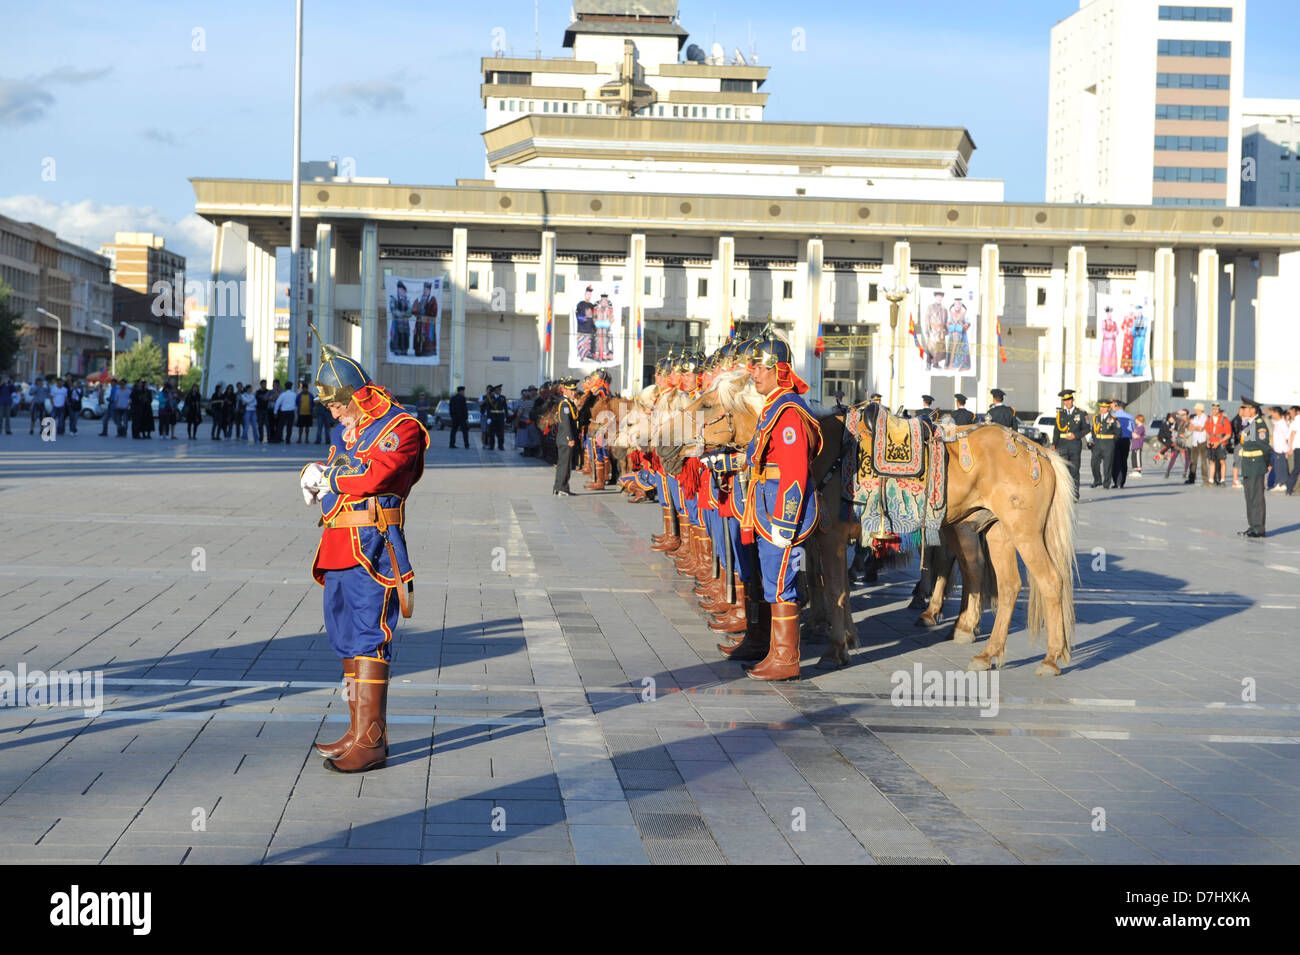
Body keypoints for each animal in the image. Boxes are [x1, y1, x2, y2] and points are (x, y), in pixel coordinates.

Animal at [691, 369, 1076, 675]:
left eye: (707, 404)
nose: (684, 445)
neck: (821, 445)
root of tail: (1039, 450)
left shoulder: (829, 537)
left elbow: (833, 588)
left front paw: (835, 648)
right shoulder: (823, 536)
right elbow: (833, 586)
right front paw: (843, 637)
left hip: (1021, 531)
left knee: (1047, 580)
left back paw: (1050, 657)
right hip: (994, 530)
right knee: (1005, 584)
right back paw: (986, 651)